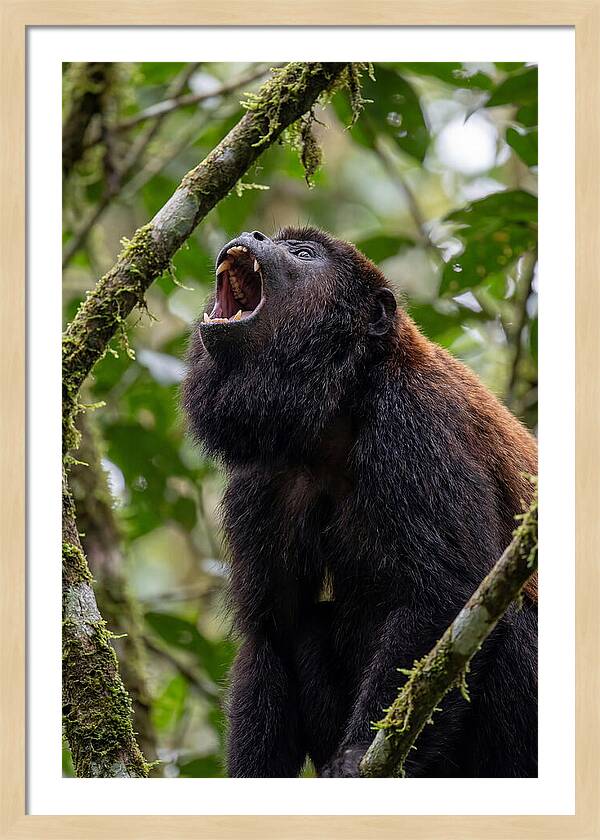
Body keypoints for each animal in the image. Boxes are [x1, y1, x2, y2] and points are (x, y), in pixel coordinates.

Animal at [182, 227, 537, 778]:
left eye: (303, 254)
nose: (253, 234)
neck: (341, 406)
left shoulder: (414, 423)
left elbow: (446, 594)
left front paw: (353, 757)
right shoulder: (263, 477)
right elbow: (272, 631)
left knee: (512, 618)